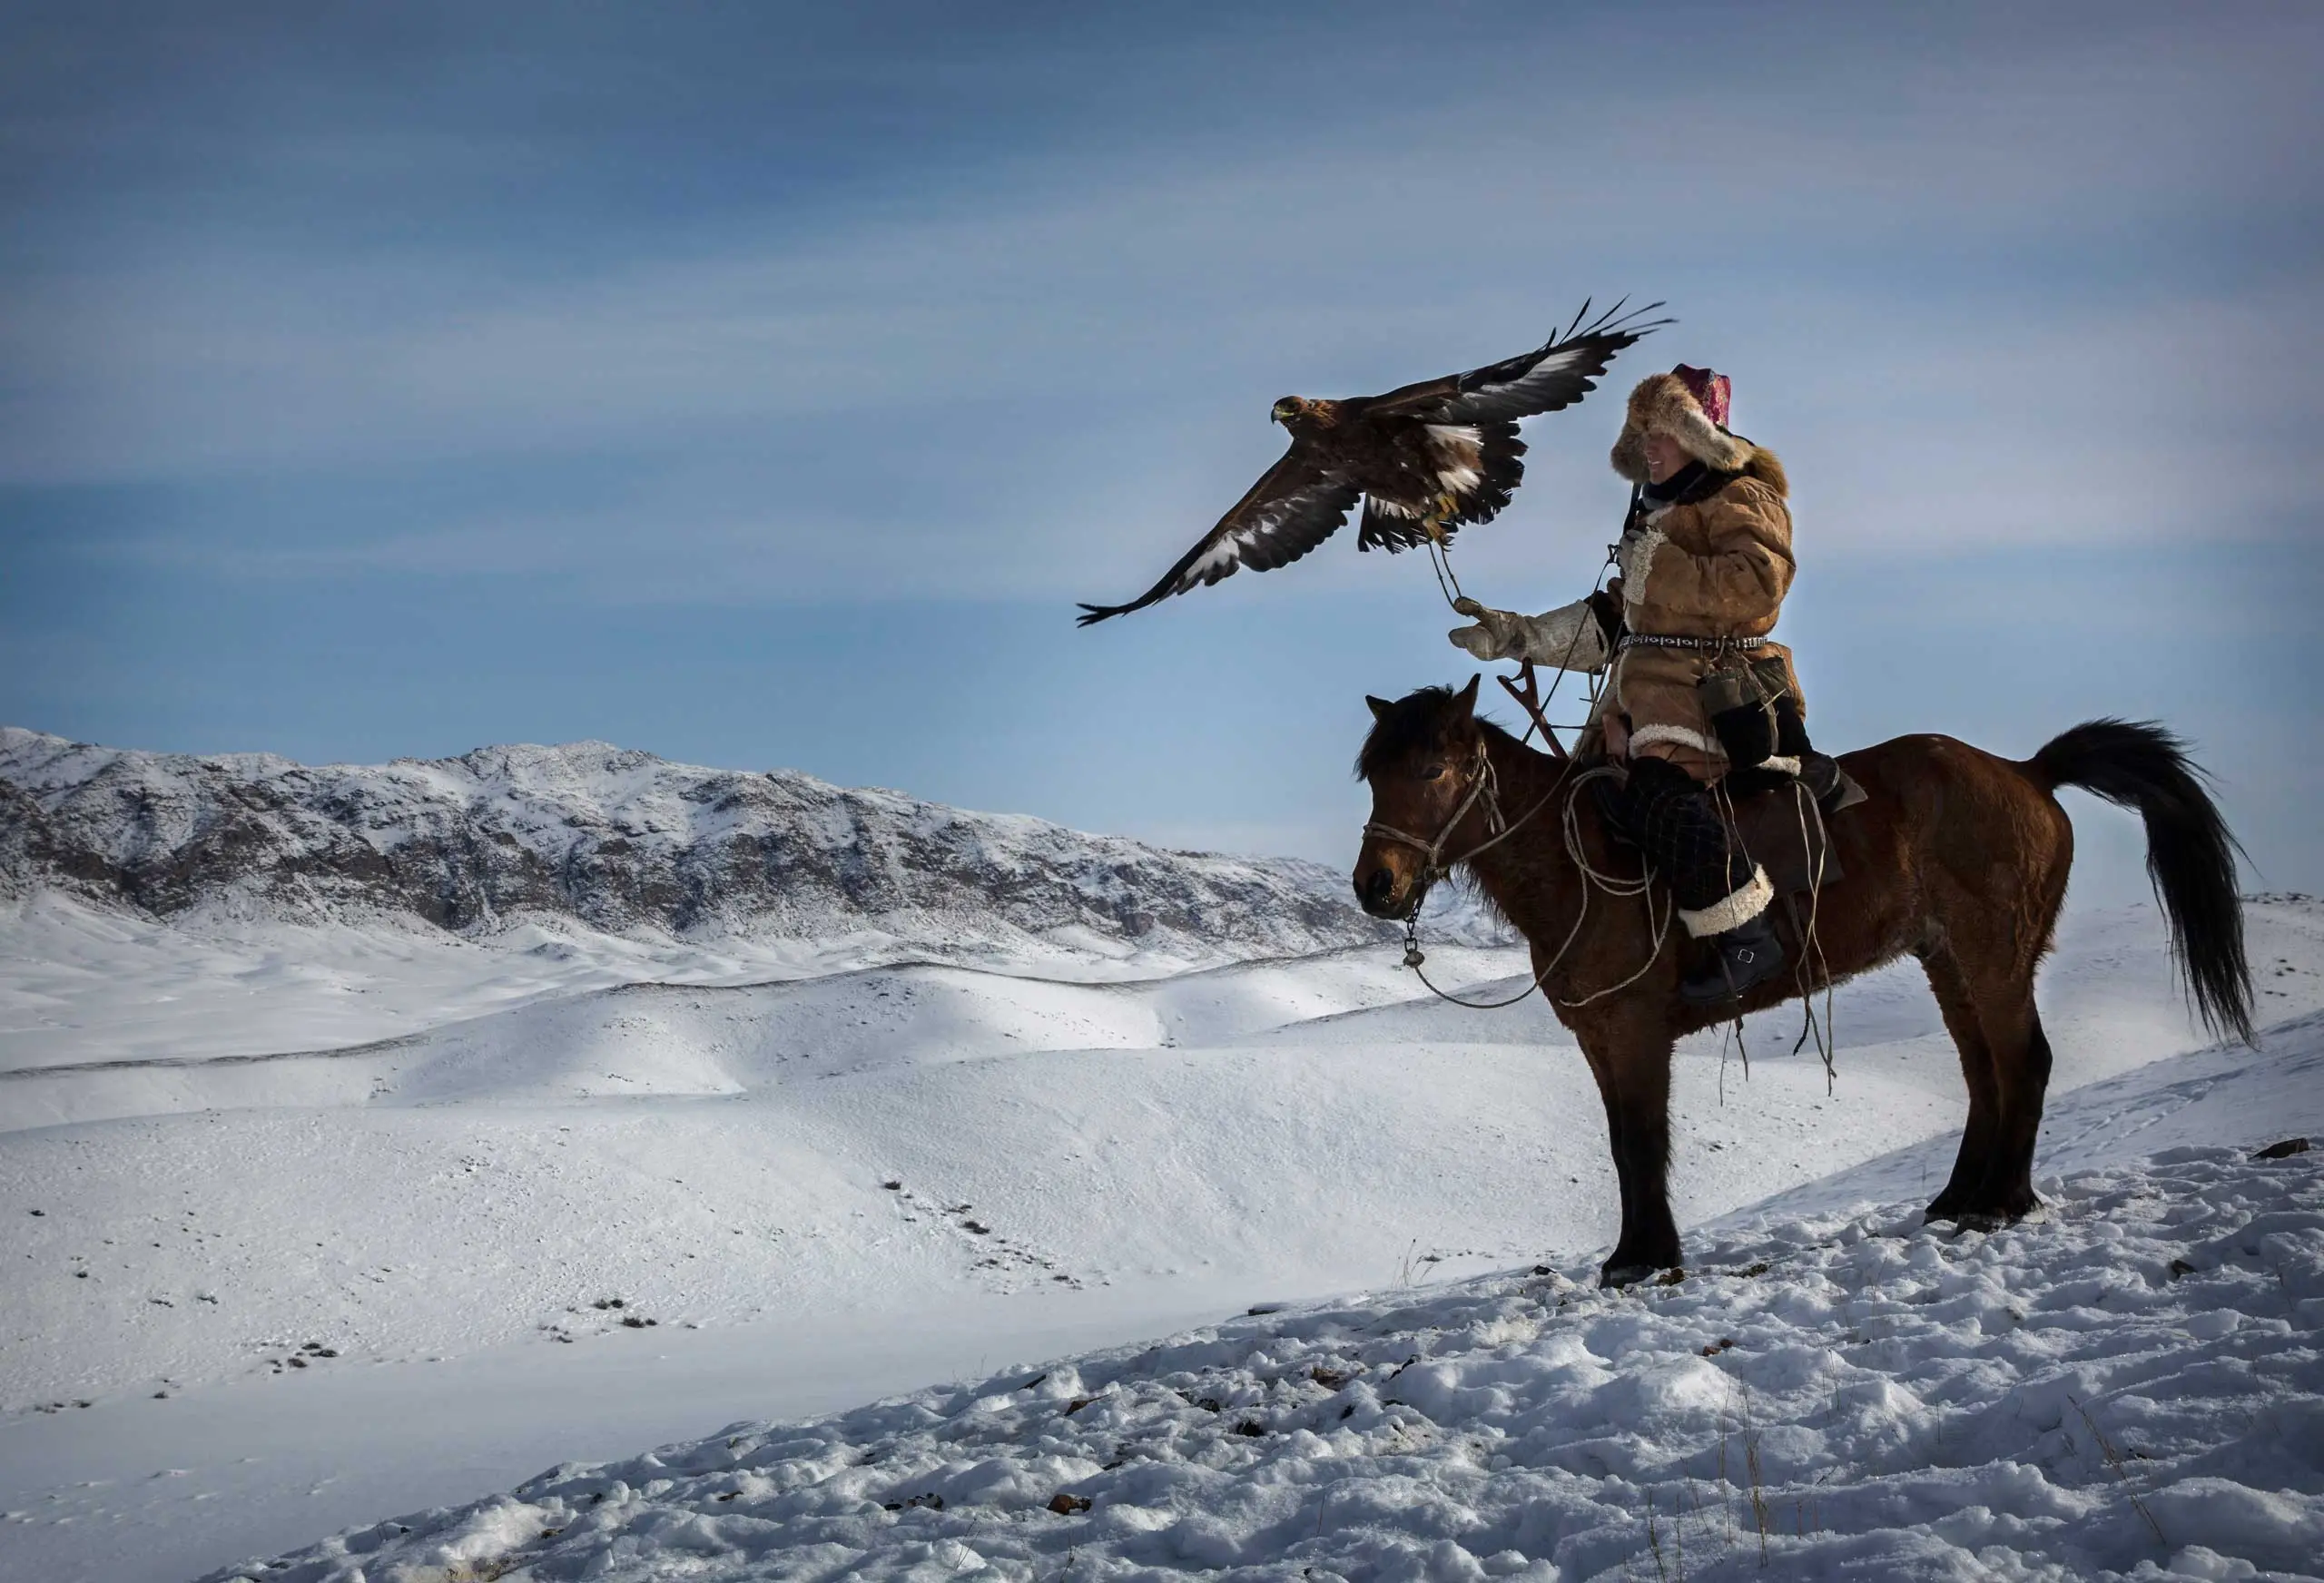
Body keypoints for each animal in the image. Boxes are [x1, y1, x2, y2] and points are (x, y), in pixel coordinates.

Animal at [1347, 674, 2250, 1283]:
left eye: (1432, 773)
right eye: (1374, 776)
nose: (1376, 886)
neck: (1578, 865)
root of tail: (2027, 772)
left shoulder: (1635, 1032)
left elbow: (1641, 1140)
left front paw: (1648, 1258)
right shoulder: (1601, 1036)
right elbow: (1620, 1144)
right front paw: (1632, 1253)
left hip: (1993, 954)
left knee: (2023, 1062)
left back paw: (2001, 1201)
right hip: (1949, 960)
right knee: (1984, 1072)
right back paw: (1959, 1198)